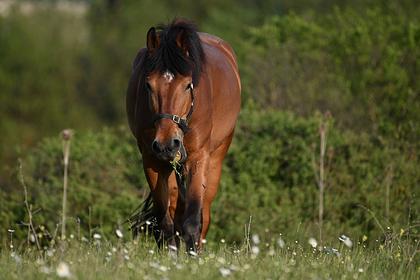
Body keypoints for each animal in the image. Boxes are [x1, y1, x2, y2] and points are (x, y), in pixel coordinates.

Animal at [125, 20, 240, 252]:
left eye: (188, 85)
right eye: (148, 85)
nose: (167, 144)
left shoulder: (198, 158)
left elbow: (194, 221)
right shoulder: (152, 161)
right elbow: (165, 221)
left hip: (215, 161)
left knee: (204, 214)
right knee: (175, 210)